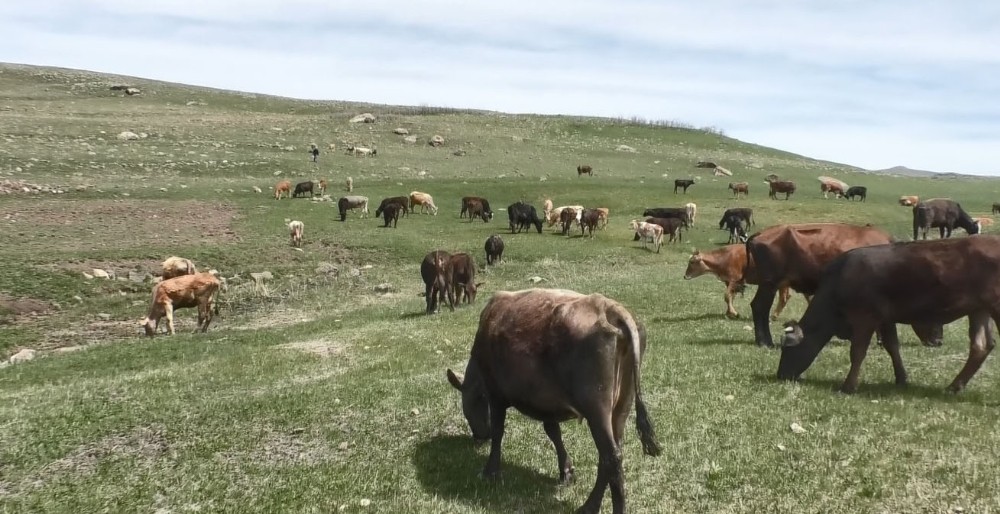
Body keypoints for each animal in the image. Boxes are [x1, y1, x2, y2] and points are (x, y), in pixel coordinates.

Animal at [448, 288, 664, 512]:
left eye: (471, 405)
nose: (479, 437)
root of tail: (610, 308)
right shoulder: (546, 402)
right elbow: (553, 432)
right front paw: (566, 470)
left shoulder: (496, 394)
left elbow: (499, 432)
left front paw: (490, 471)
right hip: (621, 406)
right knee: (612, 454)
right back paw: (590, 505)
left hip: (596, 409)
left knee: (611, 457)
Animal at [776, 235, 1000, 392]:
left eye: (787, 348)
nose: (780, 375)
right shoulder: (885, 319)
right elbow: (893, 346)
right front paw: (901, 379)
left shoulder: (864, 318)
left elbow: (857, 352)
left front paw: (849, 386)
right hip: (979, 310)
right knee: (980, 346)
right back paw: (954, 386)